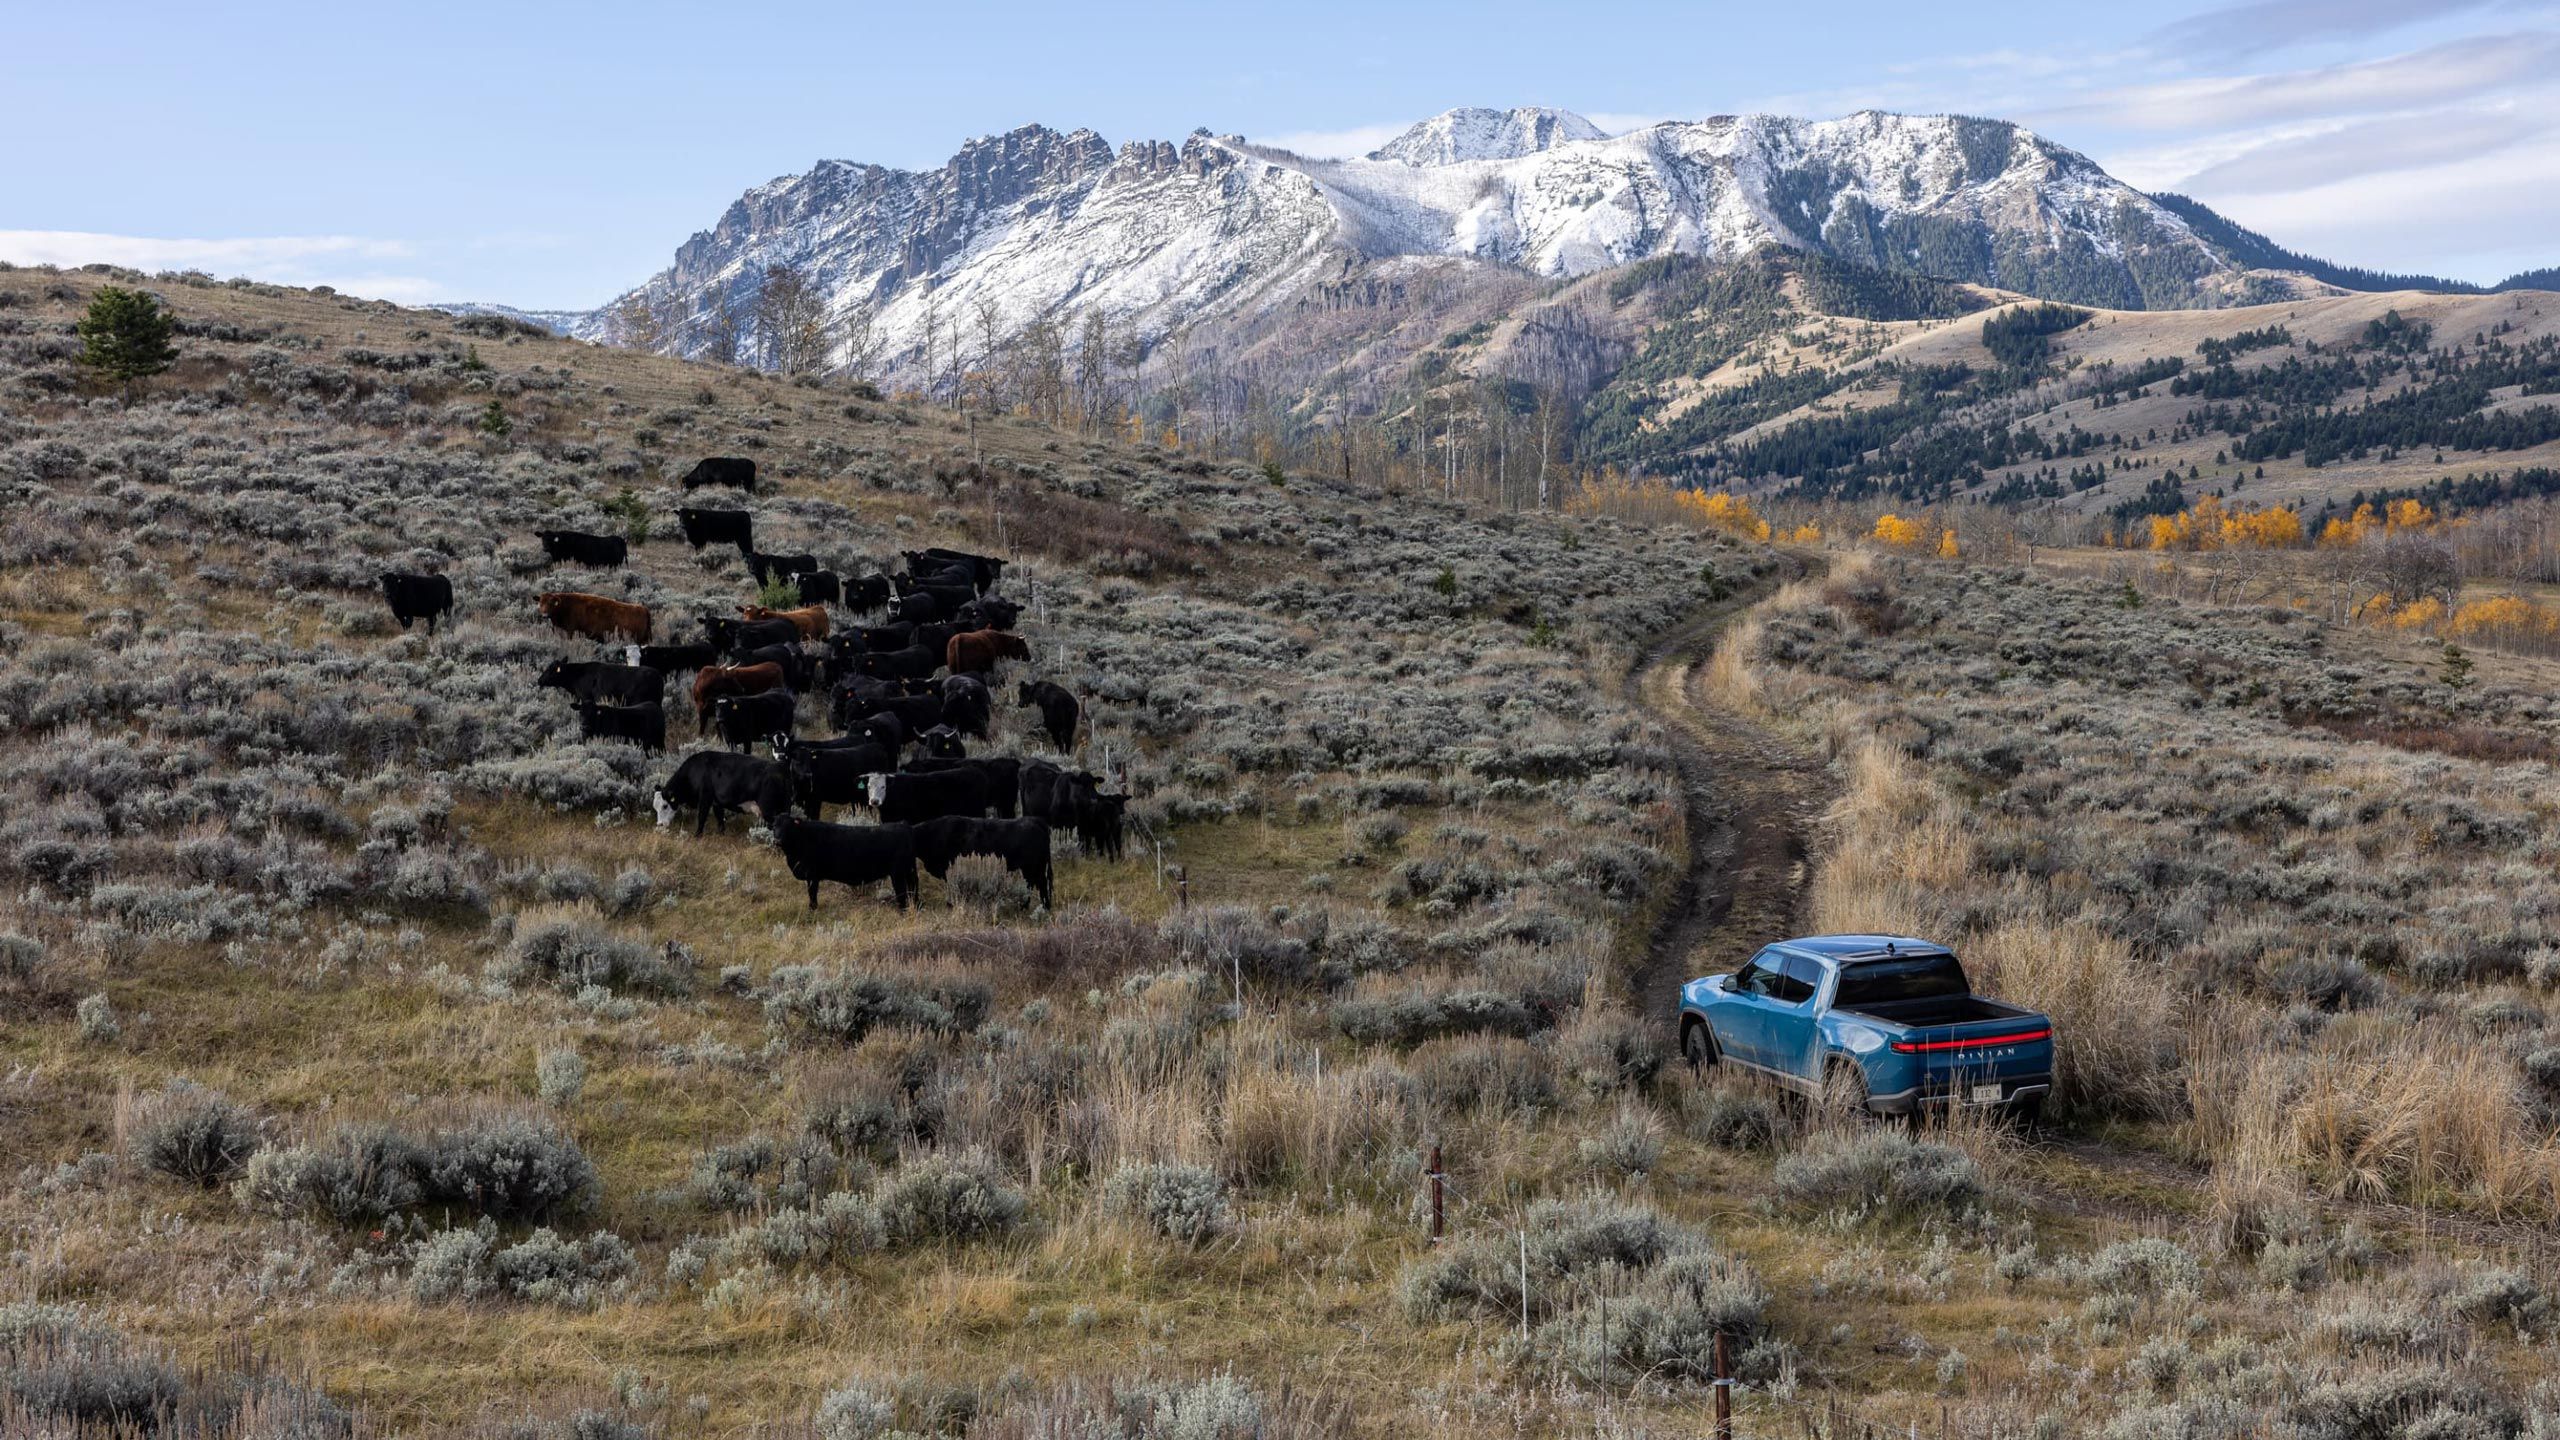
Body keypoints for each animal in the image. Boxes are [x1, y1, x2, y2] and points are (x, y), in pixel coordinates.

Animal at [650, 743, 788, 835]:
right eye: (655, 807)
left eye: (665, 806)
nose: (660, 824)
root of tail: (781, 769)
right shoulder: (717, 803)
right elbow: (720, 820)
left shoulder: (705, 798)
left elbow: (702, 817)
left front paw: (697, 835)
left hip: (770, 811)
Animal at [768, 814, 921, 901]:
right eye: (774, 826)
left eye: (788, 827)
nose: (777, 841)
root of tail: (904, 825)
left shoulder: (812, 875)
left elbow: (812, 895)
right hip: (909, 869)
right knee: (913, 887)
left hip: (898, 873)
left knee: (902, 892)